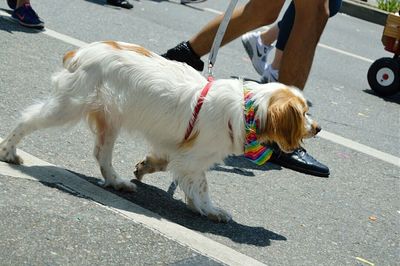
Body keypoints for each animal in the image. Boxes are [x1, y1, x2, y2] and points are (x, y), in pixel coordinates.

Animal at [0, 40, 320, 222]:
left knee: (102, 155)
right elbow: (202, 186)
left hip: (109, 120)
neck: (246, 109)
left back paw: (117, 182)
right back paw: (9, 151)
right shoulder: (193, 160)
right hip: (68, 106)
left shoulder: (179, 151)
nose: (318, 127)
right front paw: (211, 210)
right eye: (304, 113)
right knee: (27, 119)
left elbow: (167, 165)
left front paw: (146, 168)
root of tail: (82, 51)